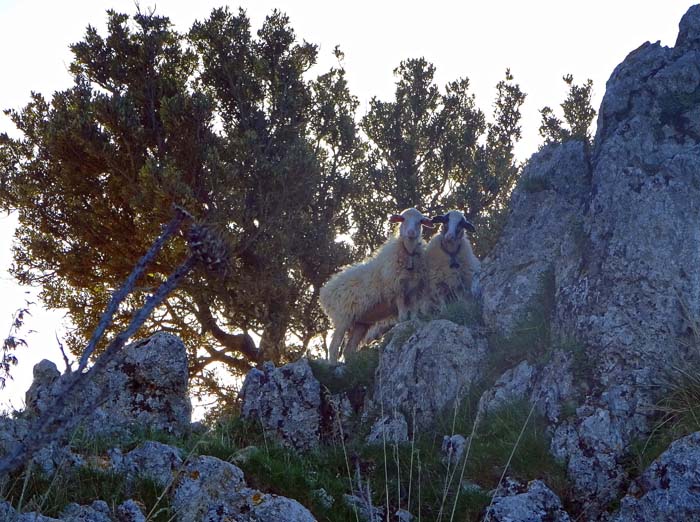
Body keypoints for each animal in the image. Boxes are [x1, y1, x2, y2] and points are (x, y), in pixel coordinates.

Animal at [322, 206, 432, 362]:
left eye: (420, 221)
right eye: (403, 219)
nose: (411, 233)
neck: (408, 254)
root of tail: (325, 291)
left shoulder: (414, 291)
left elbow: (414, 316)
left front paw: (414, 324)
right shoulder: (397, 290)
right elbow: (403, 317)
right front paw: (403, 326)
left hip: (360, 323)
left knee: (349, 349)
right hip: (342, 317)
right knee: (334, 346)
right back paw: (333, 365)